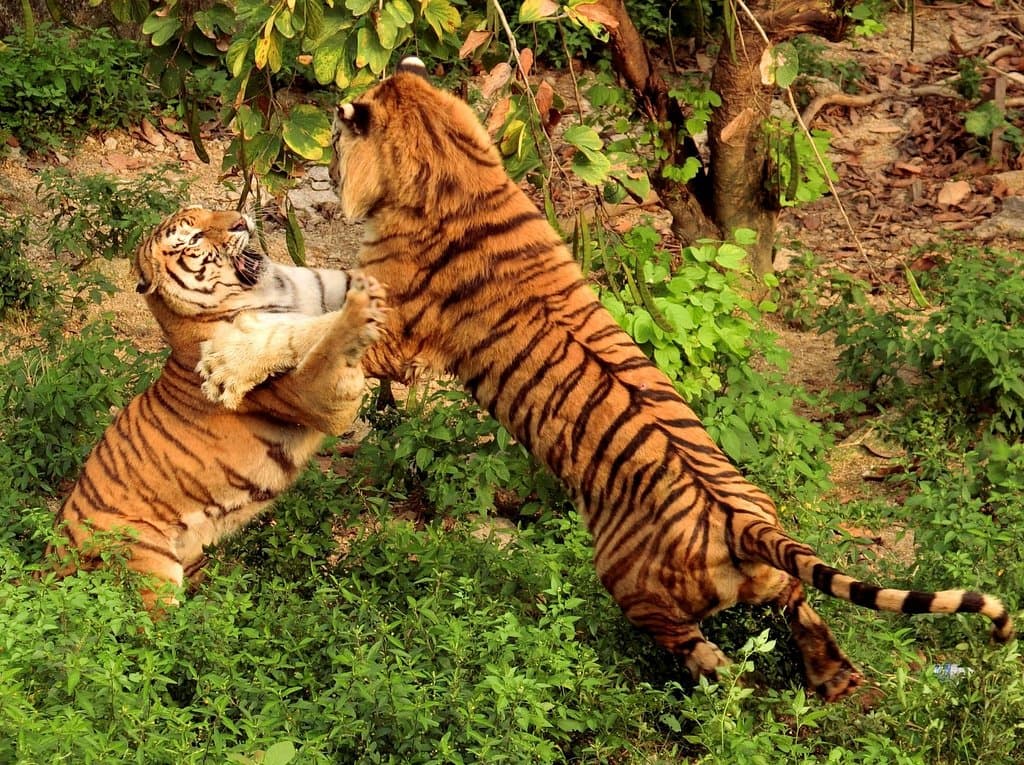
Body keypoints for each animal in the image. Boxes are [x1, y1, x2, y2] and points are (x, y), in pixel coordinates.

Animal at [50, 206, 385, 610]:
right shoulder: (319, 396)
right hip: (150, 566)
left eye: (210, 210)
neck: (273, 287)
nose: (240, 221)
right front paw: (361, 311)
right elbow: (320, 340)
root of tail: (52, 556)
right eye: (194, 239)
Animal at [197, 59, 1014, 701]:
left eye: (336, 142)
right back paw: (838, 682)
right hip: (774, 578)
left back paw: (720, 700)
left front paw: (229, 361)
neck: (450, 160)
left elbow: (311, 329)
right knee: (801, 610)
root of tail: (741, 520)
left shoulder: (390, 329)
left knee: (713, 663)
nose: (327, 171)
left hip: (631, 579)